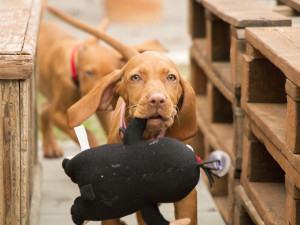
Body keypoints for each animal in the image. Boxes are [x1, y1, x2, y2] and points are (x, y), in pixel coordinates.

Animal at [38, 7, 166, 158]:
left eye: (112, 73)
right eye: (88, 72)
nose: (97, 95)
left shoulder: (105, 113)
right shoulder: (59, 113)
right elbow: (88, 134)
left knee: (44, 107)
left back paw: (49, 146)